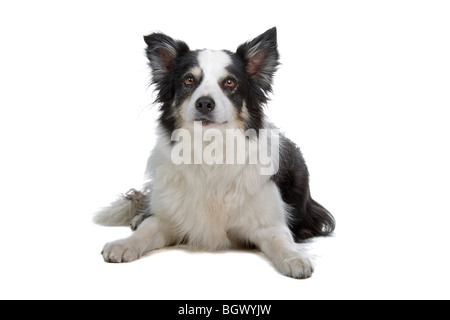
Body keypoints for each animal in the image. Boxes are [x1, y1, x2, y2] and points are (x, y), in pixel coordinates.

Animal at [94, 26, 334, 278]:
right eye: (189, 80)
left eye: (229, 82)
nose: (204, 103)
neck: (209, 148)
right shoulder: (169, 219)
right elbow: (147, 230)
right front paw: (124, 243)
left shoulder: (268, 223)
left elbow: (281, 240)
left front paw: (294, 257)